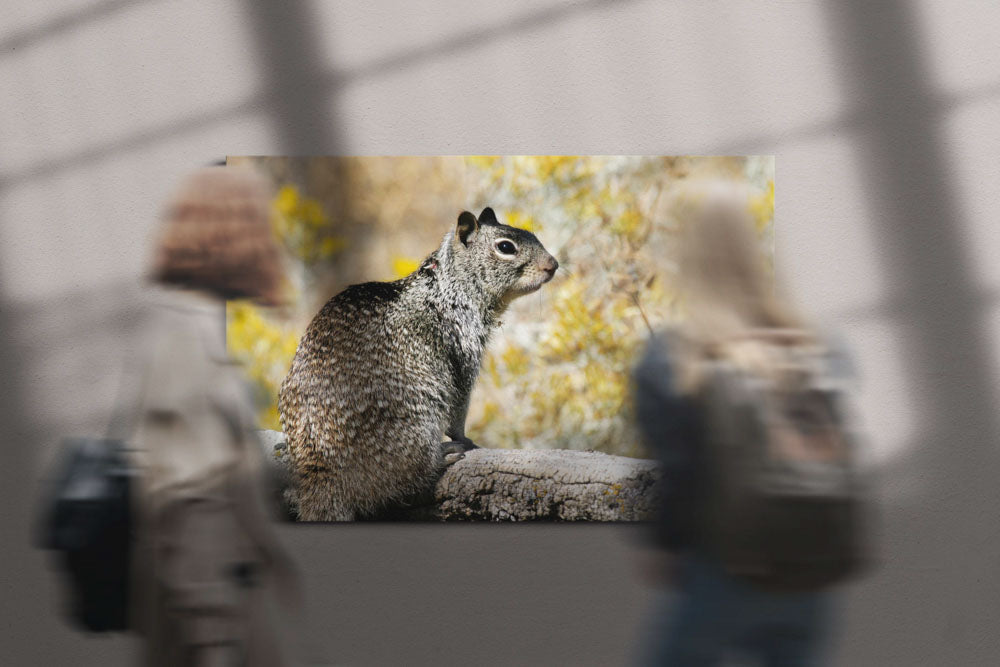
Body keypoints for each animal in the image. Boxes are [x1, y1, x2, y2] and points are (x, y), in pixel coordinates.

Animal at [282, 209, 560, 520]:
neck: (448, 285)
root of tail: (322, 475)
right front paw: (465, 438)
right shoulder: (464, 350)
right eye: (505, 247)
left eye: (532, 234)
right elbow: (459, 406)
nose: (554, 264)